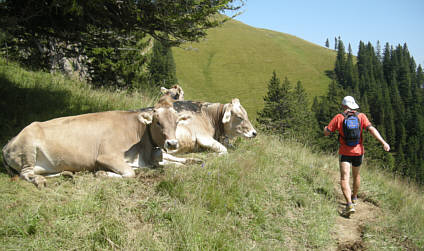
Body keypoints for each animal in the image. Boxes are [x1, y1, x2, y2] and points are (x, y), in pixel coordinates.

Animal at [1, 95, 190, 187]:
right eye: (158, 122)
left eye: (177, 122)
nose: (172, 144)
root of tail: (8, 143)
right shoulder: (106, 156)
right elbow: (130, 173)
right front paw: (102, 173)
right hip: (27, 150)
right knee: (26, 174)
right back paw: (40, 181)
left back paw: (67, 173)